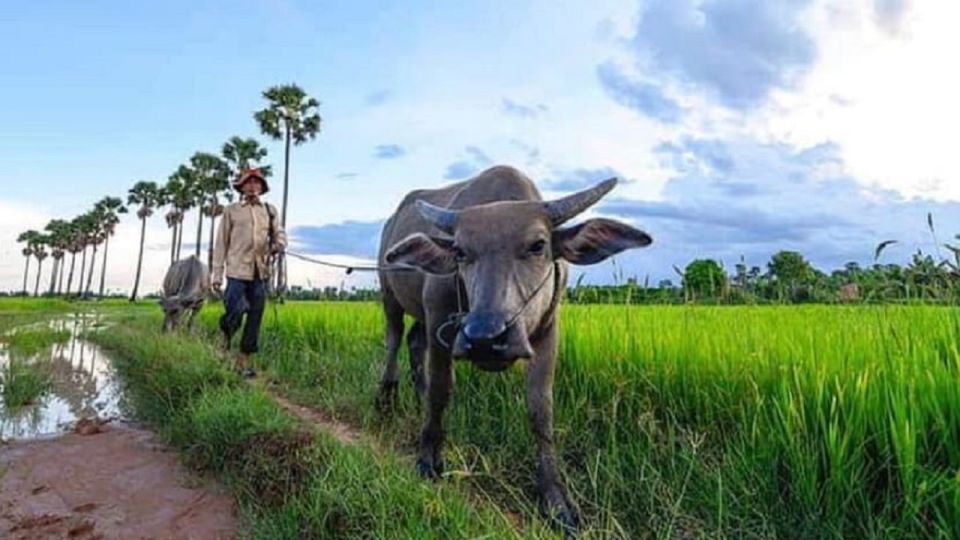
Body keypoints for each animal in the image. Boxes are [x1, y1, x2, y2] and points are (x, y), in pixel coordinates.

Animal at [376, 163, 652, 528]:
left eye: (538, 245)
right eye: (460, 252)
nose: (484, 337)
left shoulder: (548, 331)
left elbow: (540, 409)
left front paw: (555, 498)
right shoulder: (439, 320)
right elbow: (441, 392)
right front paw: (428, 458)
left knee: (414, 341)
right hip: (389, 295)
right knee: (394, 340)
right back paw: (385, 397)